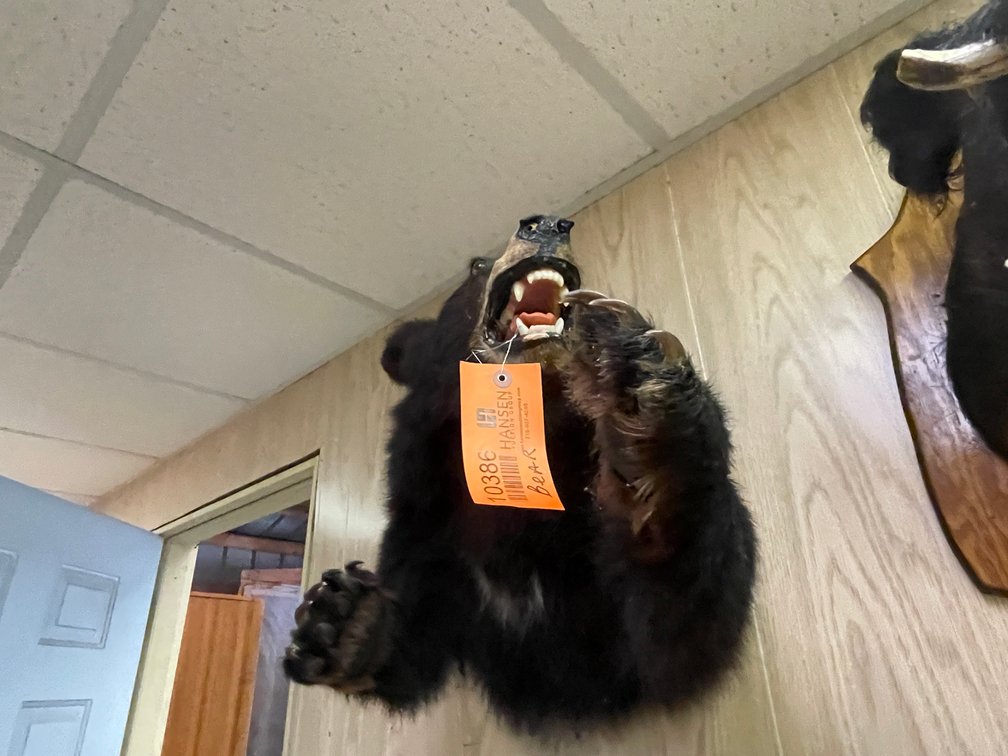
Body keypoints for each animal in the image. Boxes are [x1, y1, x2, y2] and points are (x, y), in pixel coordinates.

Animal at [283, 214, 757, 733]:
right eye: (476, 266)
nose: (548, 223)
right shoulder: (427, 519)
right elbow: (415, 640)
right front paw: (345, 623)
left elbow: (676, 631)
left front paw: (639, 391)